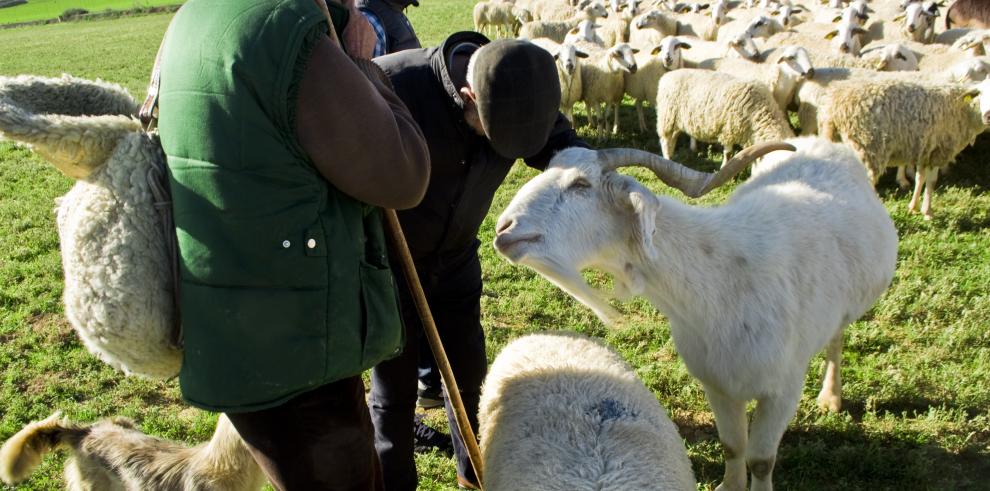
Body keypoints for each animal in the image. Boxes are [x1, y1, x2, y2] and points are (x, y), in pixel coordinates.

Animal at [492, 136, 904, 491]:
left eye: (580, 184)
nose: (503, 228)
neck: (721, 280)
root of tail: (821, 140)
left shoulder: (783, 389)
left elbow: (761, 460)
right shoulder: (716, 381)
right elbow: (733, 445)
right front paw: (728, 486)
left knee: (836, 339)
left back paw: (831, 397)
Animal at [656, 68, 796, 160]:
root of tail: (667, 76)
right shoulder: (728, 130)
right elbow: (728, 153)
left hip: (677, 121)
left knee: (673, 138)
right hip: (667, 117)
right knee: (665, 140)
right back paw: (668, 159)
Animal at [820, 77, 990, 219]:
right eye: (980, 93)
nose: (988, 115)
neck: (966, 110)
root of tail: (834, 106)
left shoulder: (925, 150)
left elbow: (920, 178)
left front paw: (913, 208)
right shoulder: (939, 150)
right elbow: (931, 181)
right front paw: (928, 213)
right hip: (867, 146)